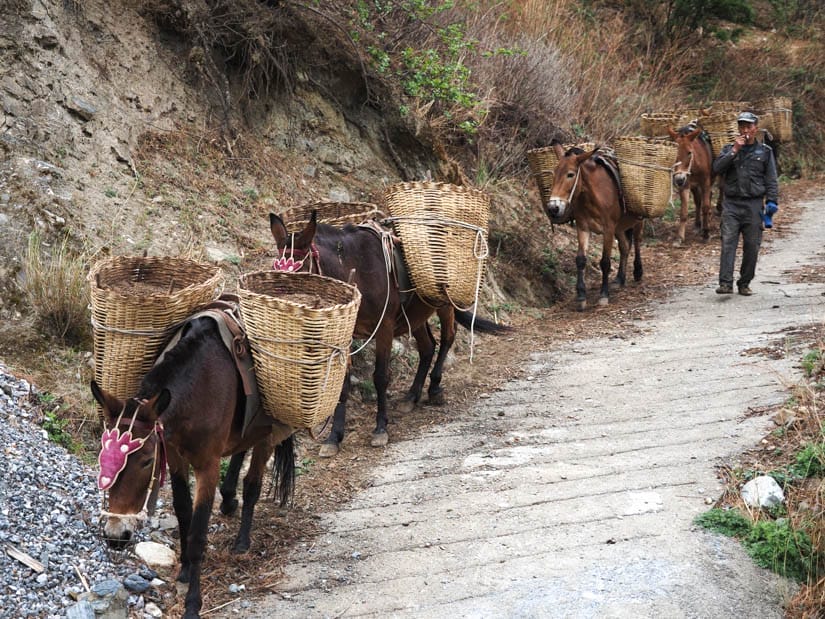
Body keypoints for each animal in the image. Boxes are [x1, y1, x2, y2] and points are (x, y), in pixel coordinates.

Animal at [91, 312, 295, 619]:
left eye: (147, 461)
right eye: (102, 455)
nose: (116, 536)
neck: (199, 387)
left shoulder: (207, 465)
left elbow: (198, 531)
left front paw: (192, 603)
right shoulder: (175, 455)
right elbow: (183, 511)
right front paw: (186, 570)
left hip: (268, 431)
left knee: (253, 484)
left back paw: (242, 541)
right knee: (240, 450)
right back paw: (228, 500)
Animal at [268, 210, 510, 456]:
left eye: (299, 276)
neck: (357, 270)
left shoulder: (384, 327)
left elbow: (381, 377)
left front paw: (380, 429)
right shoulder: (347, 333)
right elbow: (343, 385)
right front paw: (333, 438)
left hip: (444, 301)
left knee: (448, 337)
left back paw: (434, 388)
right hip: (415, 314)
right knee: (427, 347)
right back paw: (411, 396)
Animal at [544, 143, 644, 311]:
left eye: (570, 174)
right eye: (554, 173)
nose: (553, 208)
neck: (591, 196)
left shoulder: (608, 229)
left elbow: (605, 262)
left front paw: (603, 295)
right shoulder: (583, 228)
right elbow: (580, 260)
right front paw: (581, 296)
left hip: (637, 220)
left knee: (636, 242)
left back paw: (637, 272)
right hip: (619, 227)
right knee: (624, 246)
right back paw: (619, 279)